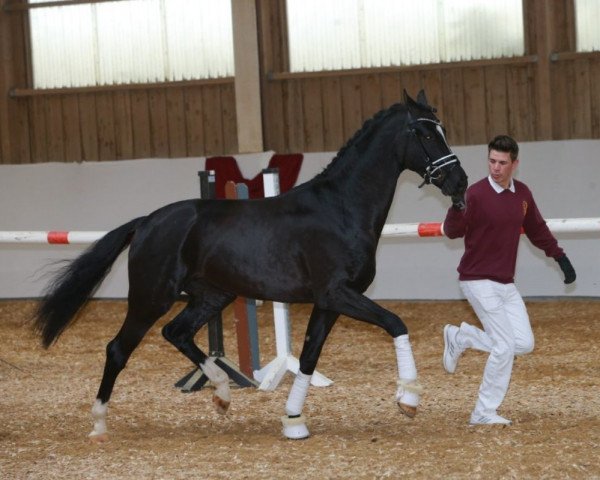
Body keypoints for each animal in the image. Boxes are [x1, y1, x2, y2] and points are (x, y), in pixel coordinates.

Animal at [34, 88, 468, 440]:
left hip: (213, 297)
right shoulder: (338, 294)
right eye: (425, 133)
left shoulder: (328, 302)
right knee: (118, 349)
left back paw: (223, 393)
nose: (459, 182)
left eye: (442, 129)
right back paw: (99, 424)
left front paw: (293, 421)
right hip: (149, 298)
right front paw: (408, 399)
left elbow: (308, 358)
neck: (340, 209)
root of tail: (147, 222)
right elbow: (396, 323)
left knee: (177, 332)